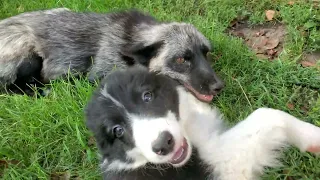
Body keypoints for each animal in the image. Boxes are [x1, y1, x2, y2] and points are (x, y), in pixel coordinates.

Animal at [85, 67, 320, 179]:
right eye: (117, 131)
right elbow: (265, 114)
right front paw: (314, 137)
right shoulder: (222, 165)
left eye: (147, 96)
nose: (163, 144)